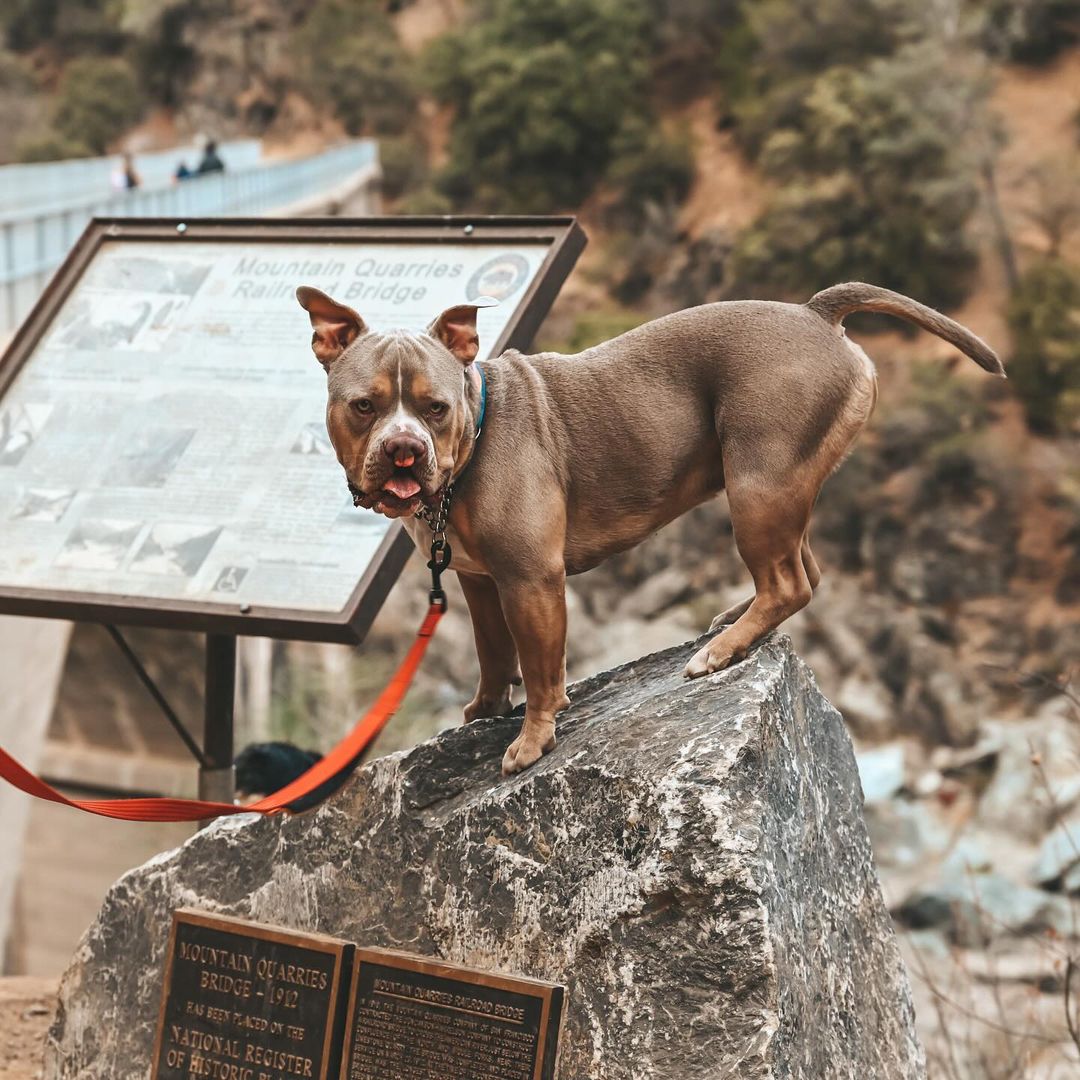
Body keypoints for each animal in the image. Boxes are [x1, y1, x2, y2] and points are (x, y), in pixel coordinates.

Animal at [295, 285, 1002, 777]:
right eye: (364, 406)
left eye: (435, 409)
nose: (404, 449)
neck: (476, 427)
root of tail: (814, 314)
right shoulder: (479, 582)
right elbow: (493, 653)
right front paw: (485, 709)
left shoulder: (530, 581)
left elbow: (541, 669)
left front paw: (532, 738)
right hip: (778, 486)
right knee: (804, 570)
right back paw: (735, 624)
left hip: (758, 483)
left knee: (788, 582)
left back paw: (723, 649)